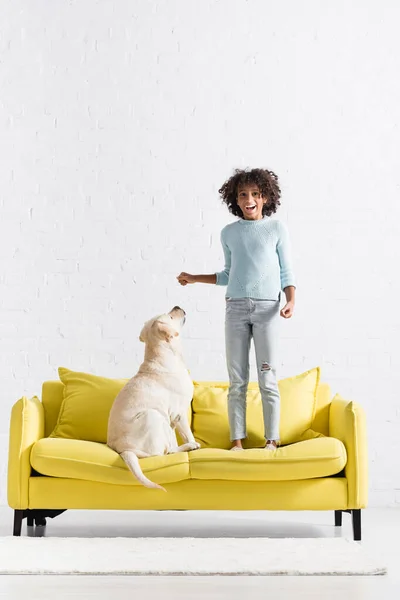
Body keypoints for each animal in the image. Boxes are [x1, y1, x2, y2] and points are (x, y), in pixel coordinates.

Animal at [106, 308, 200, 490]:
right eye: (171, 316)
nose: (177, 306)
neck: (164, 356)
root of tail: (123, 451)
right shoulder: (180, 413)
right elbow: (187, 433)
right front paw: (192, 442)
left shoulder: (171, 420)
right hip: (152, 415)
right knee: (164, 453)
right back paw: (190, 447)